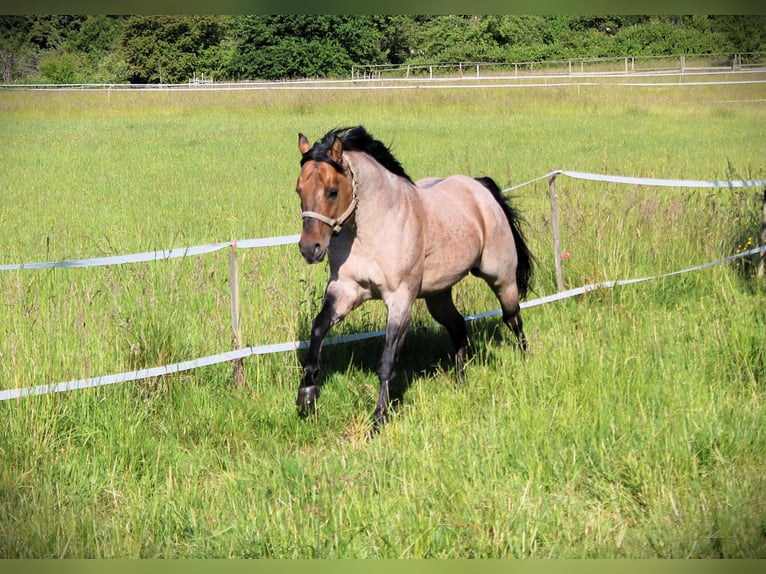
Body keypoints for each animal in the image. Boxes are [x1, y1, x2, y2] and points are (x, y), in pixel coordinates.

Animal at [294, 126, 534, 427]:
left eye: (332, 191)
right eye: (299, 189)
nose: (309, 249)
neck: (373, 230)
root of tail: (480, 188)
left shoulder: (400, 300)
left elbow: (387, 360)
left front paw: (379, 419)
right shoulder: (346, 289)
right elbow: (318, 327)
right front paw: (307, 393)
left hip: (502, 278)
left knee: (513, 318)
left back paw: (526, 361)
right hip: (438, 295)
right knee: (458, 326)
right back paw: (461, 381)